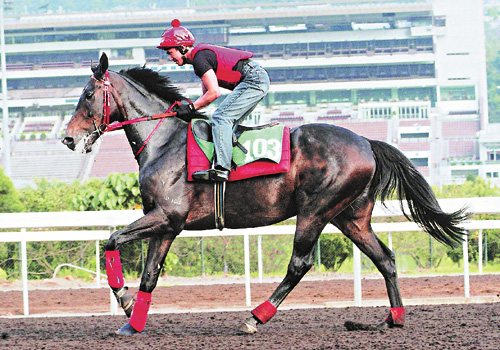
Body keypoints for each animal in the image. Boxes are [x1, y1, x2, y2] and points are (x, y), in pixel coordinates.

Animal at [60, 52, 466, 336]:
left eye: (89, 94)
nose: (68, 139)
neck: (164, 142)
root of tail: (366, 141)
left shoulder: (167, 216)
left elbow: (112, 240)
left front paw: (125, 300)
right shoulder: (166, 225)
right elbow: (149, 275)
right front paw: (133, 319)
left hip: (316, 210)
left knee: (300, 263)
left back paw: (255, 317)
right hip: (350, 216)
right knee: (386, 258)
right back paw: (393, 319)